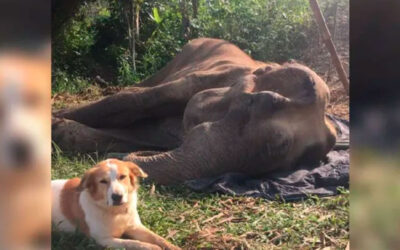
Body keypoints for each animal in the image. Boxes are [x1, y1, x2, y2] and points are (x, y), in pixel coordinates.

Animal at [51, 159, 180, 249]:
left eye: (122, 176)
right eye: (103, 181)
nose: (117, 197)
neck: (116, 212)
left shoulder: (135, 227)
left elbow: (158, 238)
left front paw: (173, 247)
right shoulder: (104, 240)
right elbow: (132, 243)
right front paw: (152, 247)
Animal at [53, 38, 340, 185]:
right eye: (254, 104)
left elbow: (134, 134)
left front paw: (60, 129)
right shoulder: (205, 78)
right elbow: (131, 101)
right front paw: (55, 121)